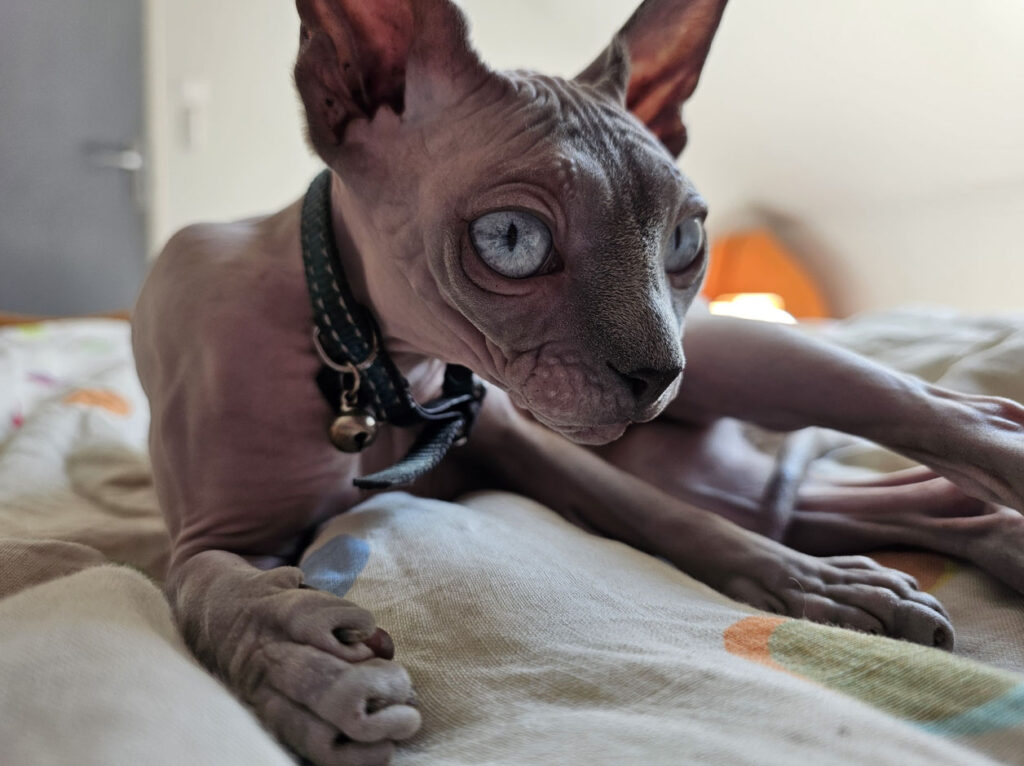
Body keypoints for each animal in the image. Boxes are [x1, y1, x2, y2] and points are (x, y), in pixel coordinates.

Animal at [132, 0, 1024, 761]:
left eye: (685, 240)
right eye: (511, 238)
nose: (658, 375)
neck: (371, 364)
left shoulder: (520, 439)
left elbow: (672, 523)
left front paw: (817, 588)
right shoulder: (208, 535)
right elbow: (200, 585)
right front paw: (303, 672)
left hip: (746, 359)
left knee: (949, 411)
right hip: (744, 471)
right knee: (884, 501)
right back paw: (996, 540)